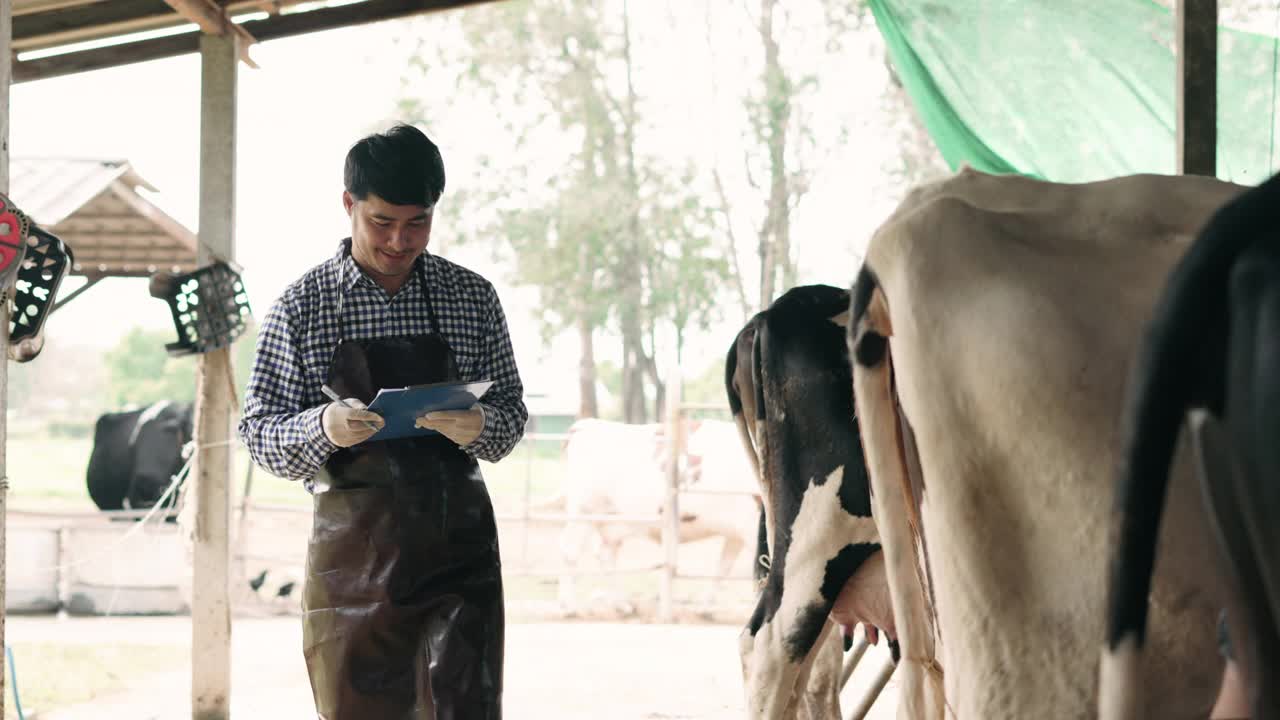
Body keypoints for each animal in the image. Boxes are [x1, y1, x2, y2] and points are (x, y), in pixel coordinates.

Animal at [552, 417, 757, 614]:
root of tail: (586, 424)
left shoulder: (737, 532)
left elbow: (723, 567)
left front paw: (704, 608)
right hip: (584, 512)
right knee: (569, 551)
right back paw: (569, 606)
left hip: (612, 520)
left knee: (606, 554)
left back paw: (621, 605)